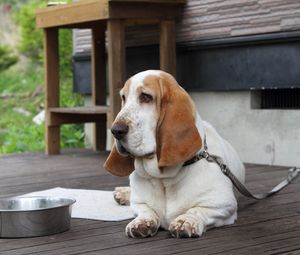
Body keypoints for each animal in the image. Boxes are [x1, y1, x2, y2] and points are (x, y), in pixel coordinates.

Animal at [104, 70, 245, 239]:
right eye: (123, 97)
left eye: (146, 96)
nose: (115, 130)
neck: (163, 178)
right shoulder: (139, 204)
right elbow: (145, 209)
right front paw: (142, 222)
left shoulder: (224, 205)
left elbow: (197, 210)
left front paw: (185, 221)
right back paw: (123, 193)